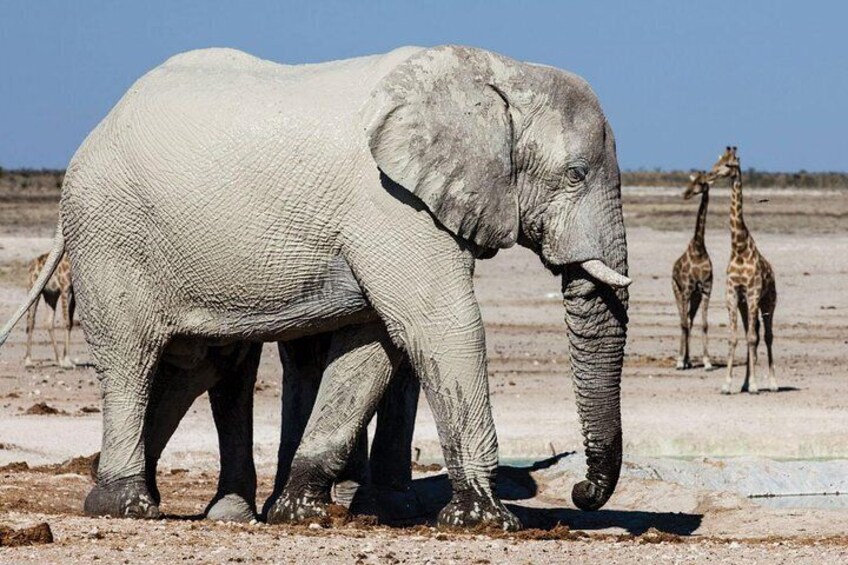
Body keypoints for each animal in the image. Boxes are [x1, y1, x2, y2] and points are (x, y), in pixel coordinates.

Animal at [0, 44, 628, 528]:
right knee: (133, 358)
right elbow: (441, 325)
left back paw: (199, 508)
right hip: (111, 236)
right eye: (575, 174)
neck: (498, 70)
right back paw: (125, 505)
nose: (582, 493)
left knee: (198, 366)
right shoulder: (389, 205)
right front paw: (487, 521)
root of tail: (96, 131)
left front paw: (298, 512)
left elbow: (374, 346)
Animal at [704, 145, 780, 392]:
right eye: (717, 161)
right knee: (750, 333)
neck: (739, 248)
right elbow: (735, 338)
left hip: (768, 302)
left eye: (729, 165)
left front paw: (756, 384)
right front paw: (728, 384)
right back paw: (746, 383)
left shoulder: (754, 293)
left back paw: (772, 383)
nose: (709, 175)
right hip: (746, 305)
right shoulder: (732, 293)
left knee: (767, 336)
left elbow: (754, 338)